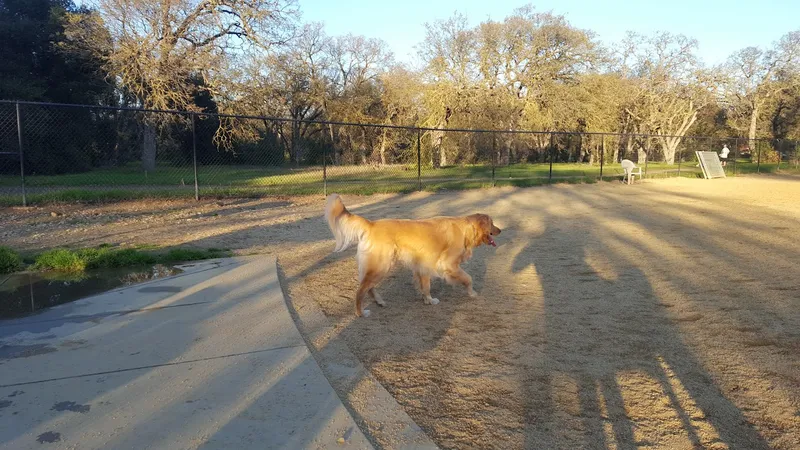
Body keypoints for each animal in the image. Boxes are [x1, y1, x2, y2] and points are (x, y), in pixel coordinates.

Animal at [324, 193, 500, 316]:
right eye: (492, 223)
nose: (500, 230)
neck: (465, 230)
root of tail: (371, 224)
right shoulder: (447, 264)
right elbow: (468, 278)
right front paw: (472, 293)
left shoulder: (423, 265)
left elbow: (426, 286)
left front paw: (428, 300)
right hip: (381, 266)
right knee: (360, 290)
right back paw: (360, 313)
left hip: (379, 266)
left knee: (368, 287)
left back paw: (379, 301)